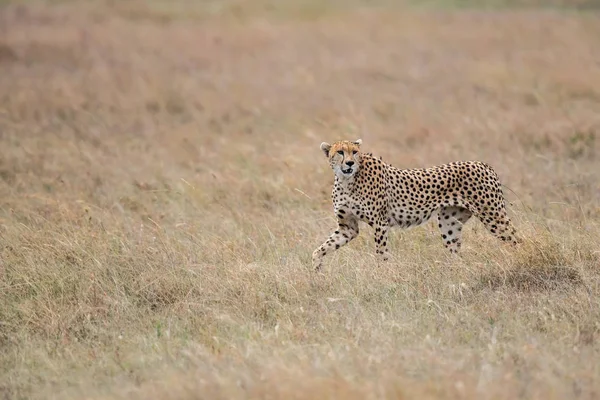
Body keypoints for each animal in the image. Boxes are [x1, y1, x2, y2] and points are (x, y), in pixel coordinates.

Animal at [312, 138, 516, 272]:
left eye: (354, 152)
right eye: (340, 152)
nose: (349, 163)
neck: (347, 180)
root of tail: (483, 164)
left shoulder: (380, 224)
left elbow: (381, 252)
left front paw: (382, 273)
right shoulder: (348, 227)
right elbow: (322, 248)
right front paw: (316, 268)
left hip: (493, 217)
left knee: (516, 239)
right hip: (449, 223)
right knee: (456, 253)